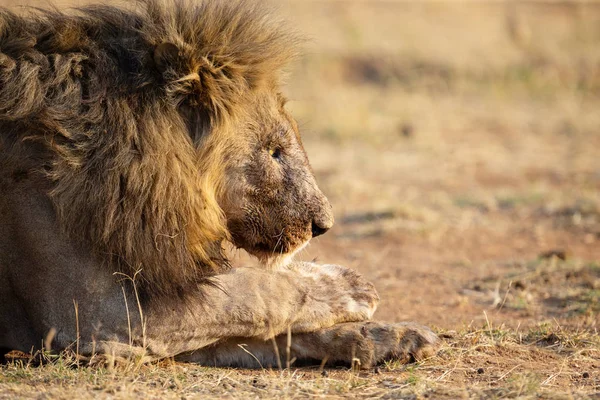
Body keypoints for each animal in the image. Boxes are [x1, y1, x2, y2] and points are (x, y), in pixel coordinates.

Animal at [0, 0, 436, 368]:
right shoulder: (94, 316)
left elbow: (254, 323)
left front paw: (387, 335)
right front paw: (348, 285)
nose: (323, 226)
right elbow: (253, 291)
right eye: (274, 151)